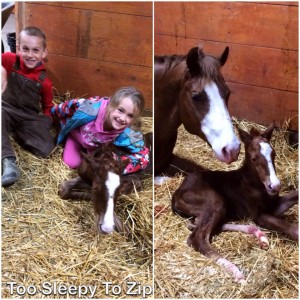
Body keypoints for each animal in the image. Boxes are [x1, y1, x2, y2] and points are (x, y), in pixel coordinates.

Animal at [171, 123, 298, 282]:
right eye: (254, 158)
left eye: (273, 154)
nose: (275, 186)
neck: (255, 183)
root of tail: (176, 194)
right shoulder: (259, 216)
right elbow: (292, 228)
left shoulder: (274, 206)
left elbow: (294, 195)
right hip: (215, 202)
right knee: (197, 238)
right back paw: (235, 271)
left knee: (195, 224)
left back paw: (259, 236)